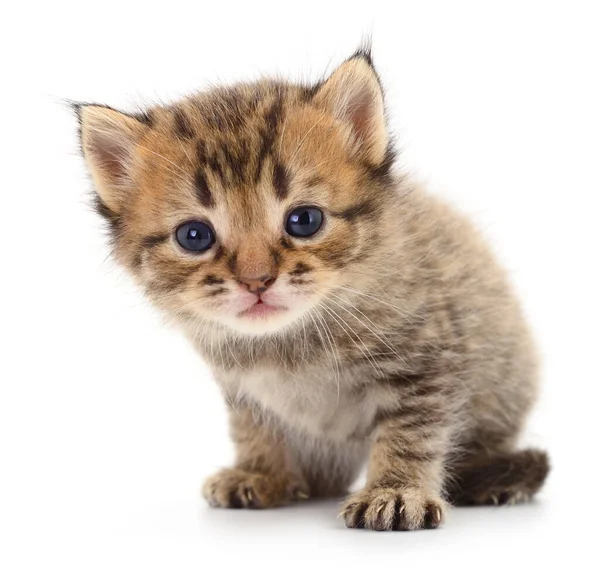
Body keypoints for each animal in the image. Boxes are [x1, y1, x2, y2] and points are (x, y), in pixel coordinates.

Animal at [77, 48, 552, 528]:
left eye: (304, 220)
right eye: (195, 236)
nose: (256, 280)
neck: (289, 340)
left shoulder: (427, 361)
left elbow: (409, 433)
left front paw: (395, 490)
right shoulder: (243, 387)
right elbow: (253, 427)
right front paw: (260, 473)